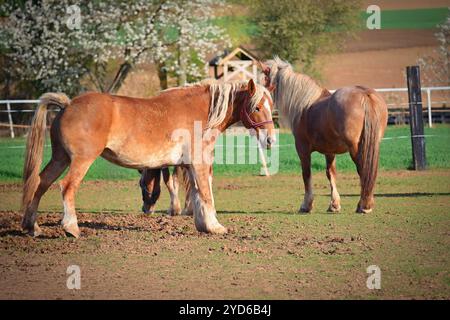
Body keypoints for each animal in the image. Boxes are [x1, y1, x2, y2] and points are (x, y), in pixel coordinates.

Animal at [21, 79, 274, 236]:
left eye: (271, 106)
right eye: (256, 107)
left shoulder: (188, 165)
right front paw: (214, 226)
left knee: (41, 183)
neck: (202, 113)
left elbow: (196, 194)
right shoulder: (200, 163)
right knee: (66, 186)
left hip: (60, 158)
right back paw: (71, 228)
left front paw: (203, 224)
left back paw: (32, 227)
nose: (271, 139)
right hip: (81, 161)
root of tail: (68, 104)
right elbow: (205, 193)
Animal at [260, 57, 386, 214]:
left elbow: (306, 174)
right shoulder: (329, 151)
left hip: (356, 148)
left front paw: (306, 205)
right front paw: (334, 205)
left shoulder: (302, 149)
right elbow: (330, 174)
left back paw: (364, 205)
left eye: (264, 79)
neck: (305, 105)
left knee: (363, 170)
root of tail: (365, 95)